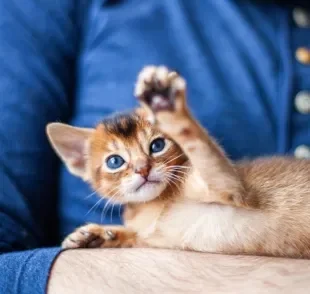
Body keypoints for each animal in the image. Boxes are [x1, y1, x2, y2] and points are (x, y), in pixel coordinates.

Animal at [46, 66, 310, 258]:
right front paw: (99, 234)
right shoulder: (151, 240)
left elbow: (201, 145)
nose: (143, 169)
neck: (154, 206)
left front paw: (167, 105)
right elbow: (135, 236)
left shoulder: (232, 187)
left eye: (157, 146)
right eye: (115, 162)